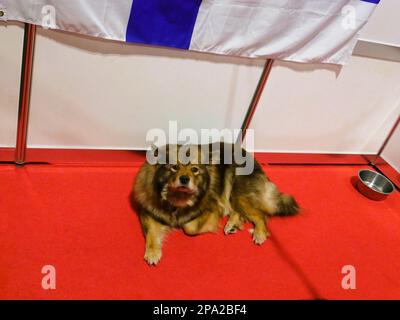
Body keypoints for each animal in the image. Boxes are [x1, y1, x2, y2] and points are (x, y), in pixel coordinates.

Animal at [133, 144, 298, 264]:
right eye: (174, 167)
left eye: (195, 169)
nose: (184, 179)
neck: (177, 197)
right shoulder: (148, 210)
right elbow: (151, 232)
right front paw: (153, 251)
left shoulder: (211, 208)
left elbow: (189, 228)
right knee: (238, 210)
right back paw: (233, 224)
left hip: (236, 192)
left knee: (259, 214)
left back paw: (259, 233)